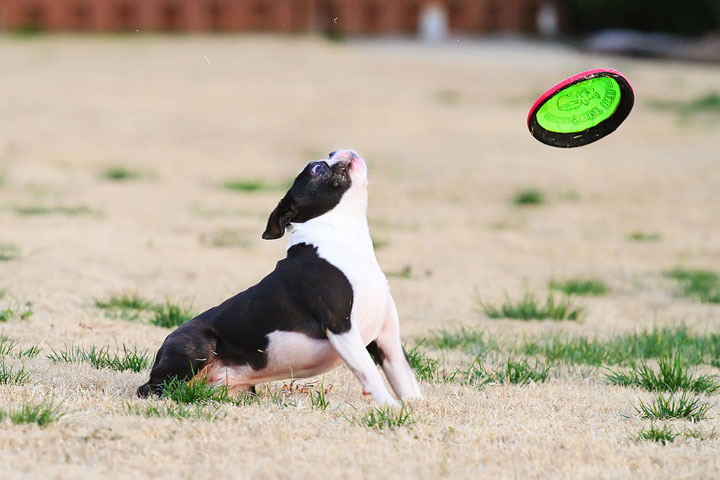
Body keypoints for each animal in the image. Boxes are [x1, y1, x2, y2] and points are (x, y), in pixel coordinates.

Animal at [137, 149, 422, 404]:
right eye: (317, 168)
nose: (337, 151)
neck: (341, 238)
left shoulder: (387, 337)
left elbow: (405, 379)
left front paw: (415, 410)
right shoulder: (341, 326)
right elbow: (369, 372)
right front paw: (391, 407)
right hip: (198, 346)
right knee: (152, 388)